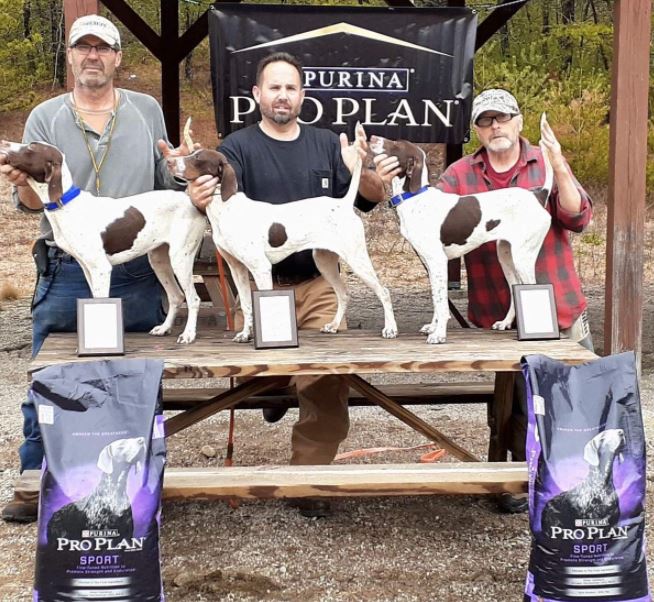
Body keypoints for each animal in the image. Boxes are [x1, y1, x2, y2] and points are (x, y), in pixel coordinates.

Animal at [0, 140, 208, 342]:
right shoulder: (88, 269)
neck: (67, 204)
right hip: (159, 260)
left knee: (193, 298)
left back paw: (189, 334)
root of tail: (191, 202)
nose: (4, 143)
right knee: (176, 296)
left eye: (31, 147)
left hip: (180, 259)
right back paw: (164, 328)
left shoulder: (101, 269)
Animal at [172, 137, 398, 342]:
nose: (170, 161)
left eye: (198, 158)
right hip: (324, 261)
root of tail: (343, 204)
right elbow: (247, 304)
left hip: (357, 259)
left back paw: (390, 329)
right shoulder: (237, 268)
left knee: (384, 292)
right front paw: (246, 334)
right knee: (343, 293)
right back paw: (334, 325)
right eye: (192, 153)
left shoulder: (261, 268)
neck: (226, 208)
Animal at [368, 115, 552, 342]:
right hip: (506, 255)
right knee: (513, 288)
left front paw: (439, 334)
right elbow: (437, 299)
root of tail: (539, 194)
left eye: (396, 144)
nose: (372, 136)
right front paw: (433, 327)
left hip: (523, 257)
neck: (415, 197)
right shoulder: (431, 264)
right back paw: (505, 323)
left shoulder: (438, 261)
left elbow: (441, 303)